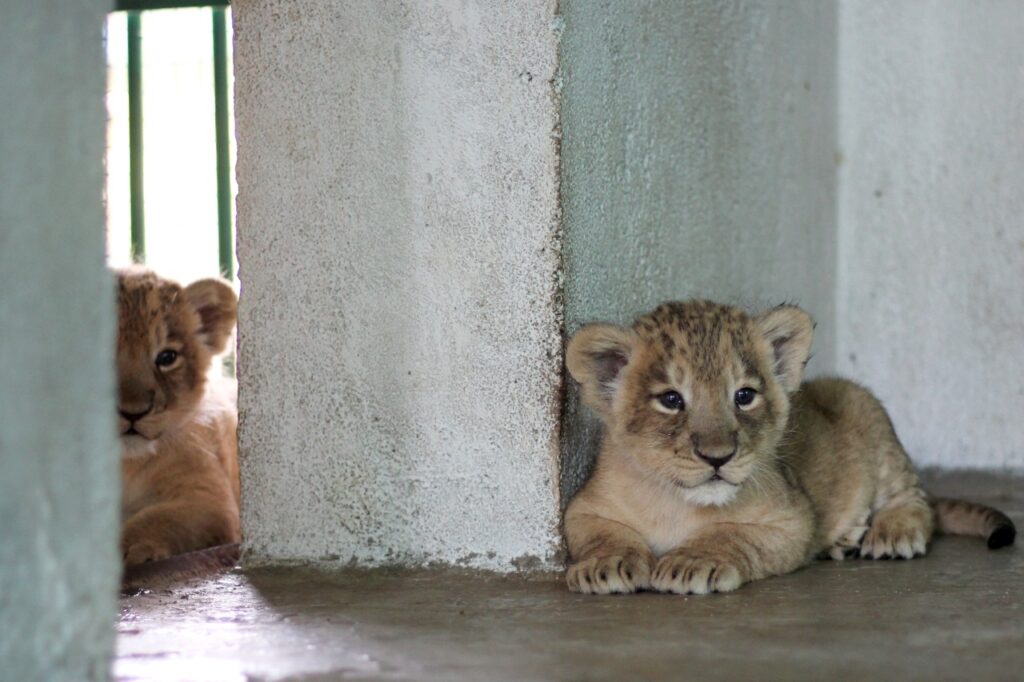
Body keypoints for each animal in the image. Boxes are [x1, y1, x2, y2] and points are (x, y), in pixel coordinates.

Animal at [564, 300, 1015, 594]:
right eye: (671, 400)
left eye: (744, 396)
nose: (718, 457)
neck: (679, 502)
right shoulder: (583, 509)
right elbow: (603, 534)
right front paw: (604, 565)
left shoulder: (794, 520)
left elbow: (729, 533)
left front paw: (691, 563)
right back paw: (844, 540)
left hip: (861, 404)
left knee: (915, 500)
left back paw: (891, 532)